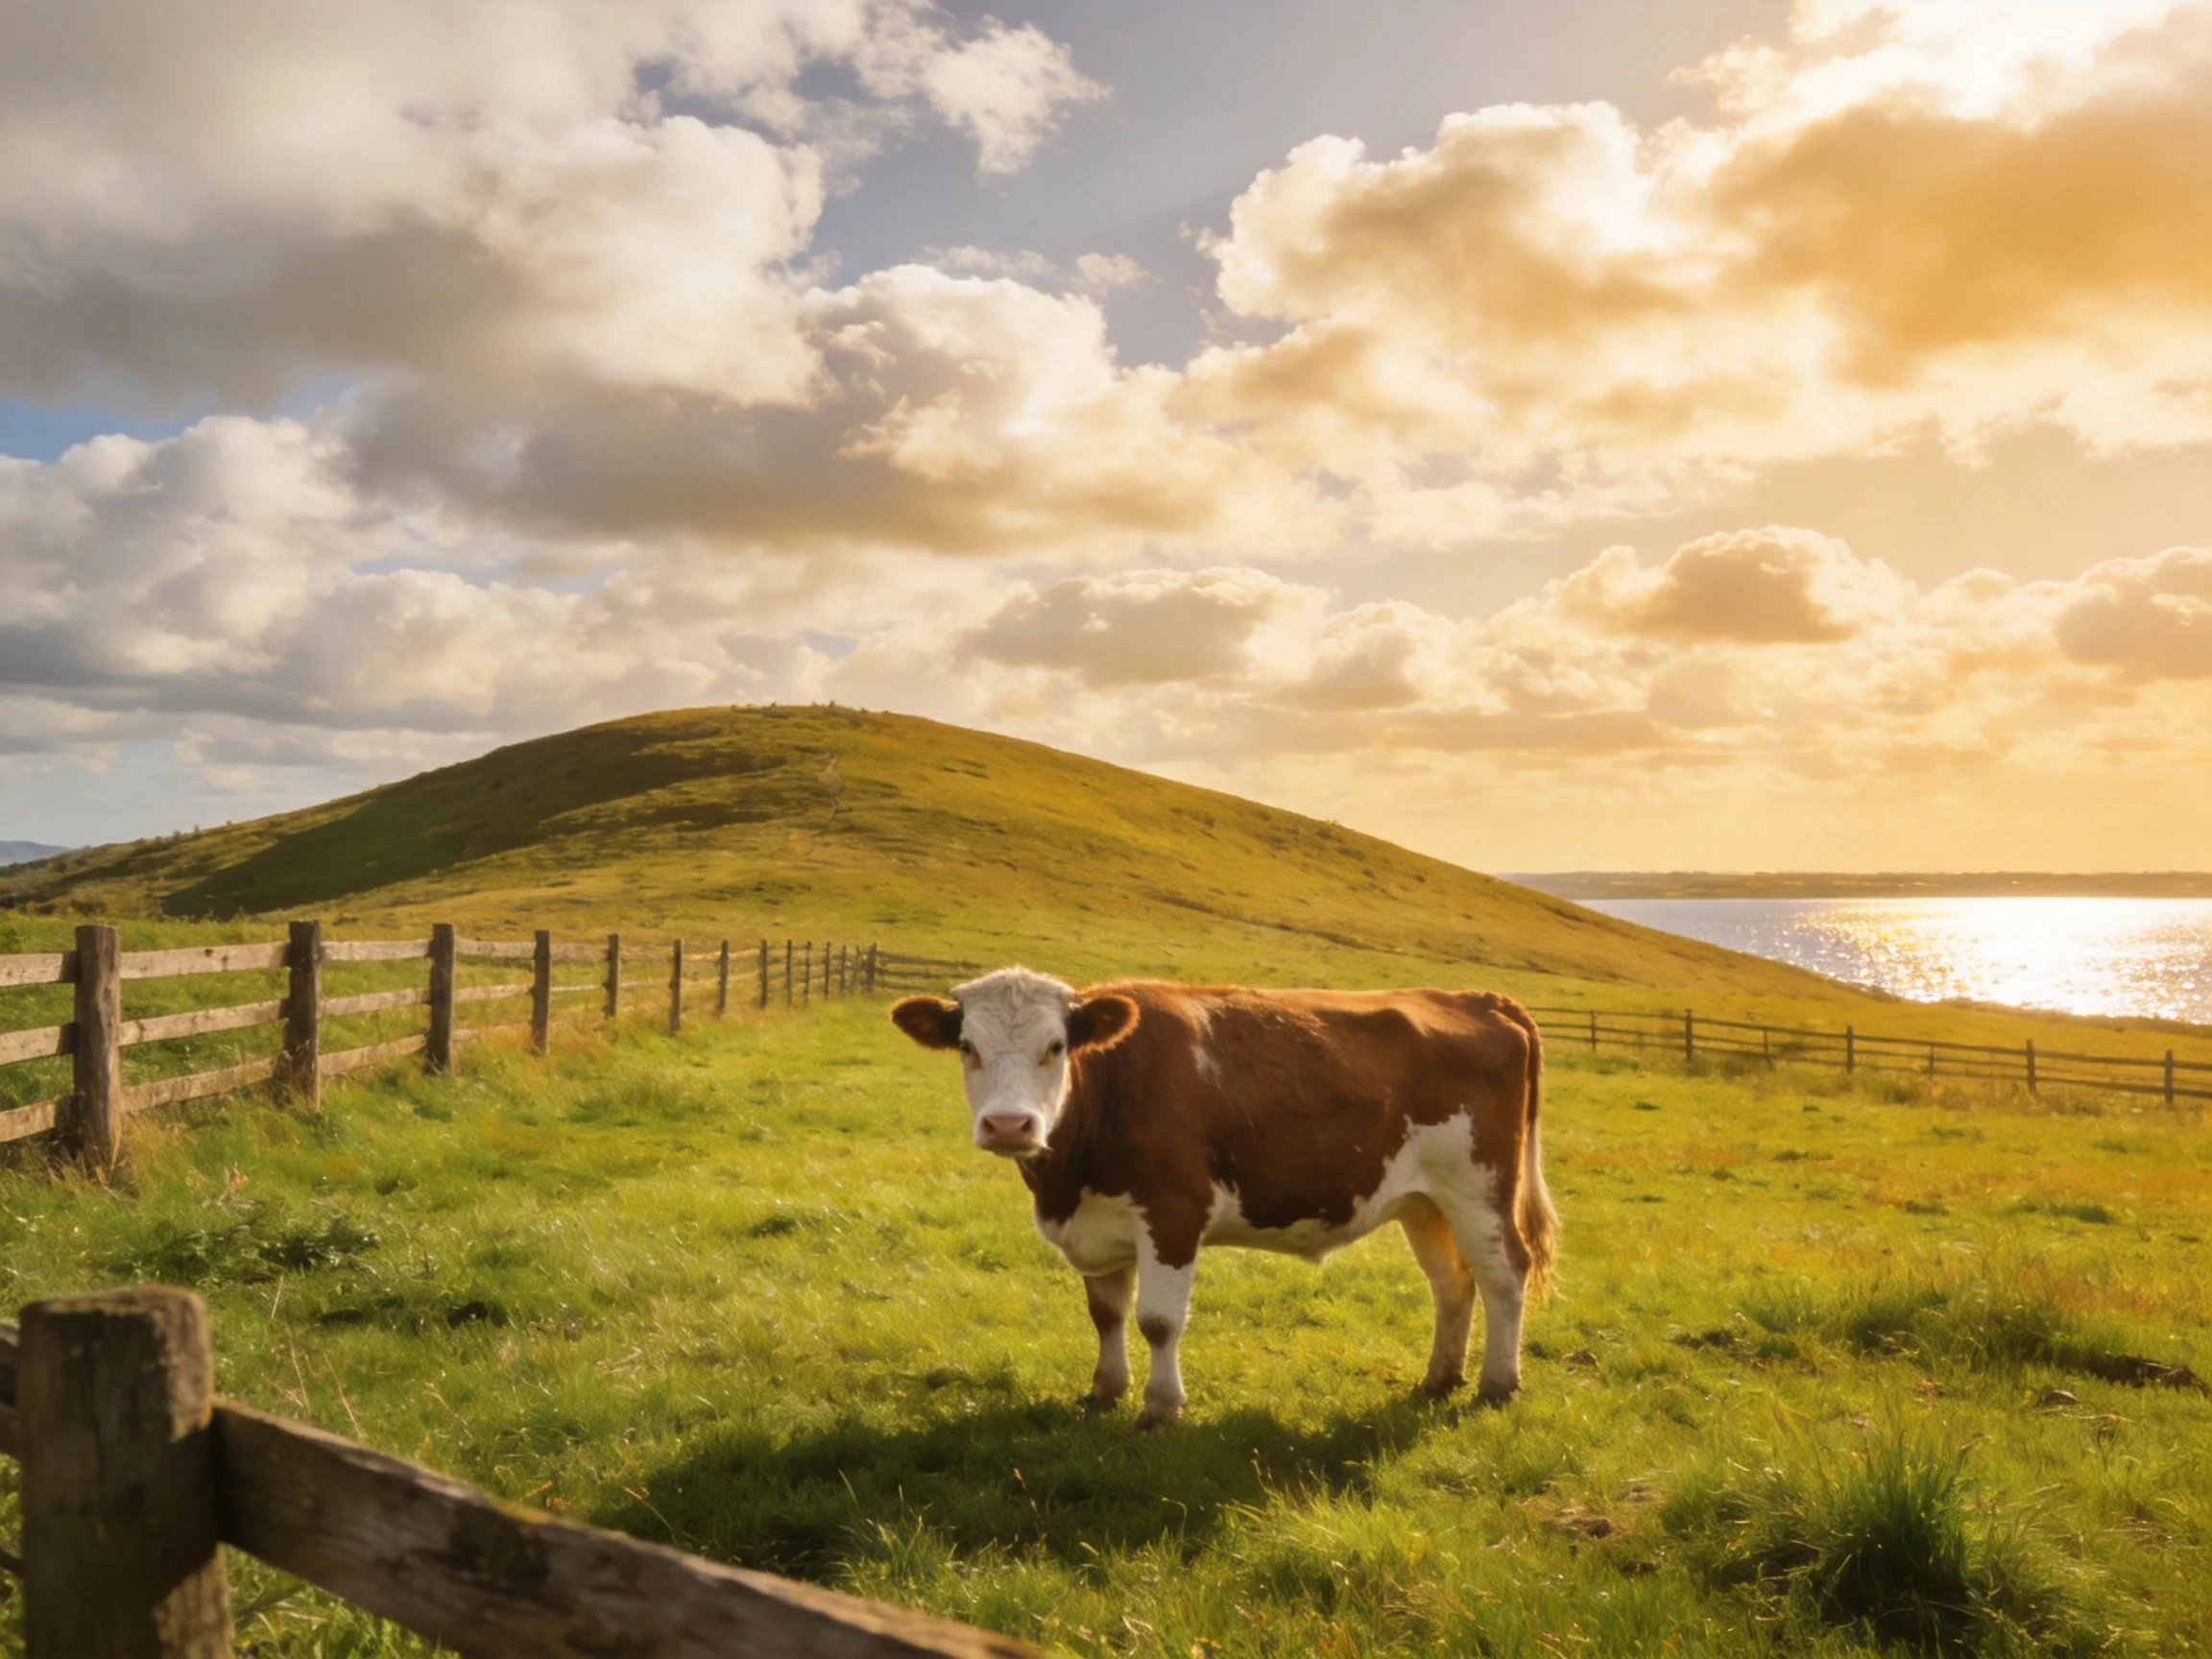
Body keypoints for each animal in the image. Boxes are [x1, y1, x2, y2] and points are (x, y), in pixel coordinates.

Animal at [891, 968, 1555, 1425]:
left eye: (1056, 1047)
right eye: (967, 1047)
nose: (1009, 1125)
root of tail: (1480, 998)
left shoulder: (1173, 1215)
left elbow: (1158, 1321)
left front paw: (1161, 1407)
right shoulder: (1096, 1225)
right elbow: (1106, 1314)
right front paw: (1105, 1390)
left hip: (1480, 1186)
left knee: (1504, 1274)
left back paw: (1497, 1384)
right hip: (1425, 1200)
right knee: (1452, 1282)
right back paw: (1438, 1380)